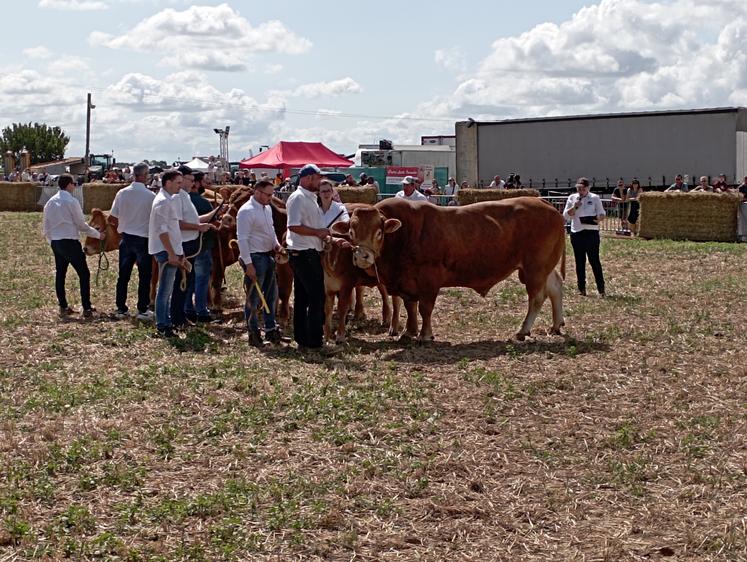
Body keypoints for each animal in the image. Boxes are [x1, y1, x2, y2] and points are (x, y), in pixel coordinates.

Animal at [334, 197, 568, 342]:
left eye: (379, 232)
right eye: (351, 232)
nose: (361, 256)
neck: (403, 235)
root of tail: (543, 202)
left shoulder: (429, 279)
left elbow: (424, 308)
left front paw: (425, 335)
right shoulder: (406, 282)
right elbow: (410, 306)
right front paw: (409, 332)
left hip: (534, 268)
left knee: (537, 298)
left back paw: (523, 330)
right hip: (543, 267)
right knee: (555, 288)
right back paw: (556, 325)